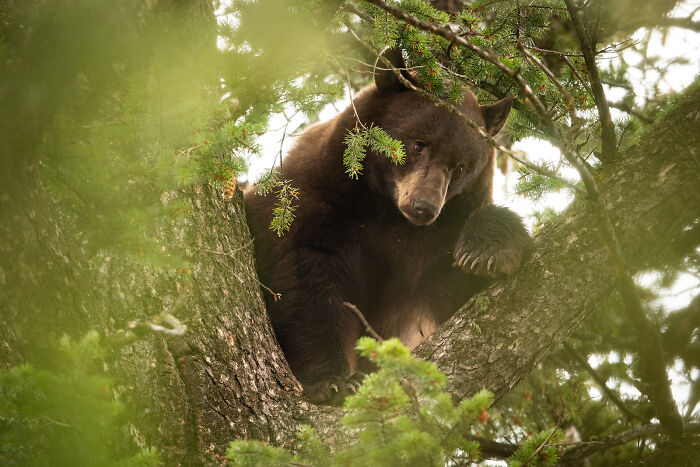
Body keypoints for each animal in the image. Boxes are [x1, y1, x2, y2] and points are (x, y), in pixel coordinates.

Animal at [243, 51, 533, 404]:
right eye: (419, 144)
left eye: (461, 166)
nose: (424, 207)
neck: (385, 211)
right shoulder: (308, 206)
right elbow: (307, 285)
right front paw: (334, 381)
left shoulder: (438, 239)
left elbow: (463, 300)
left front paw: (486, 252)